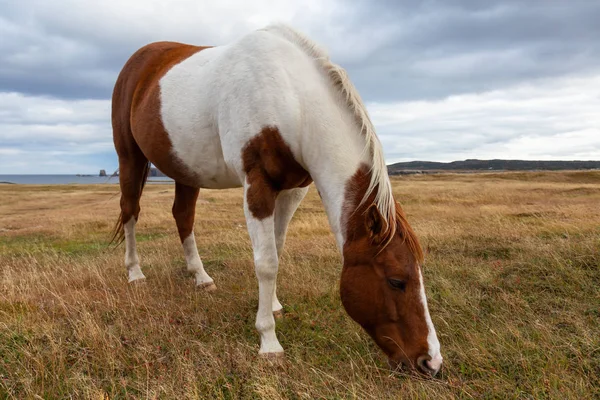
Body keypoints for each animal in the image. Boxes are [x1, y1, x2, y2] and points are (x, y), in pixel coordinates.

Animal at [110, 24, 442, 376]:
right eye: (396, 281)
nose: (432, 361)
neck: (291, 99)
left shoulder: (293, 190)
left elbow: (277, 249)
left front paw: (273, 306)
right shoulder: (257, 186)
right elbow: (267, 262)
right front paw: (269, 341)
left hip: (186, 169)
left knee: (183, 216)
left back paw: (201, 277)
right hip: (129, 157)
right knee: (130, 211)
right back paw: (135, 273)